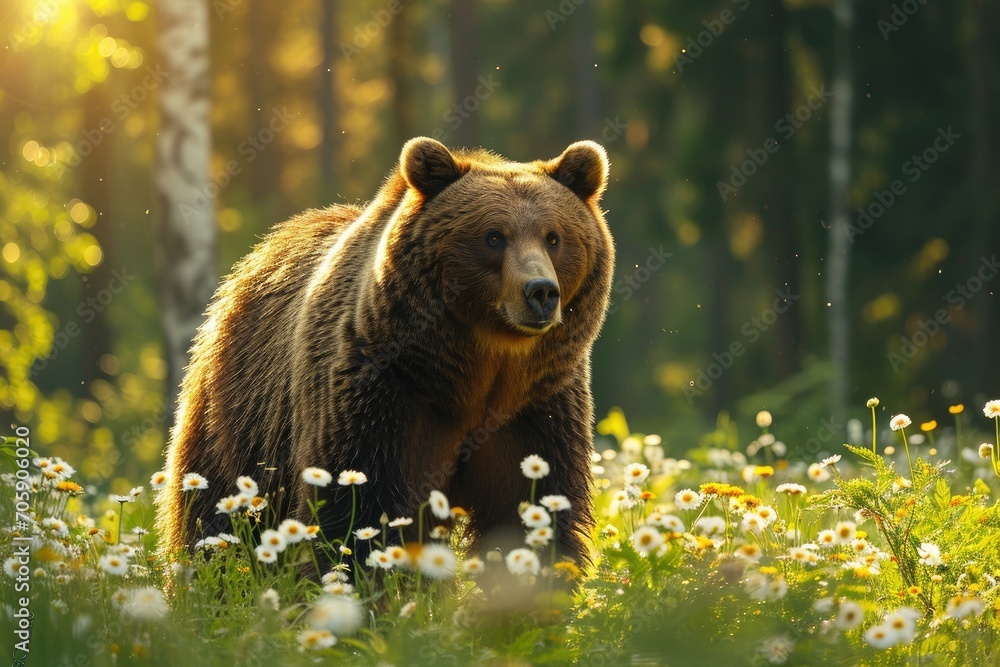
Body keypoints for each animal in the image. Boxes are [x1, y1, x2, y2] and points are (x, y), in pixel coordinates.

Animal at [156, 137, 614, 572]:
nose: (540, 292)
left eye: (554, 237)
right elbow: (358, 510)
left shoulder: (536, 404)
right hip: (240, 412)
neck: (476, 370)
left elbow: (531, 507)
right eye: (494, 236)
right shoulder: (382, 392)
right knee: (214, 512)